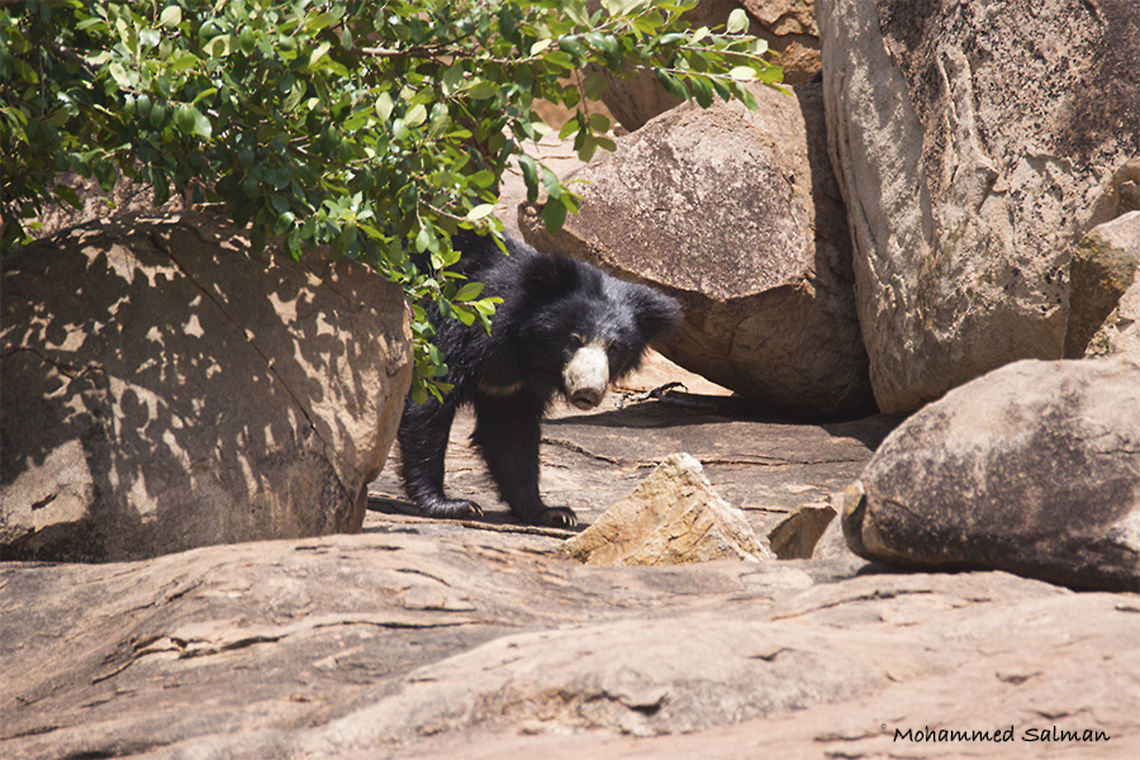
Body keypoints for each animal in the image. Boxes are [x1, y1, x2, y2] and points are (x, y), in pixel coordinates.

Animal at [398, 230, 682, 528]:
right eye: (574, 338)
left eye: (614, 348)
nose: (588, 391)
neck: (528, 353)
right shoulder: (451, 329)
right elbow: (429, 400)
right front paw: (451, 505)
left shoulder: (512, 387)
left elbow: (511, 435)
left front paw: (552, 512)